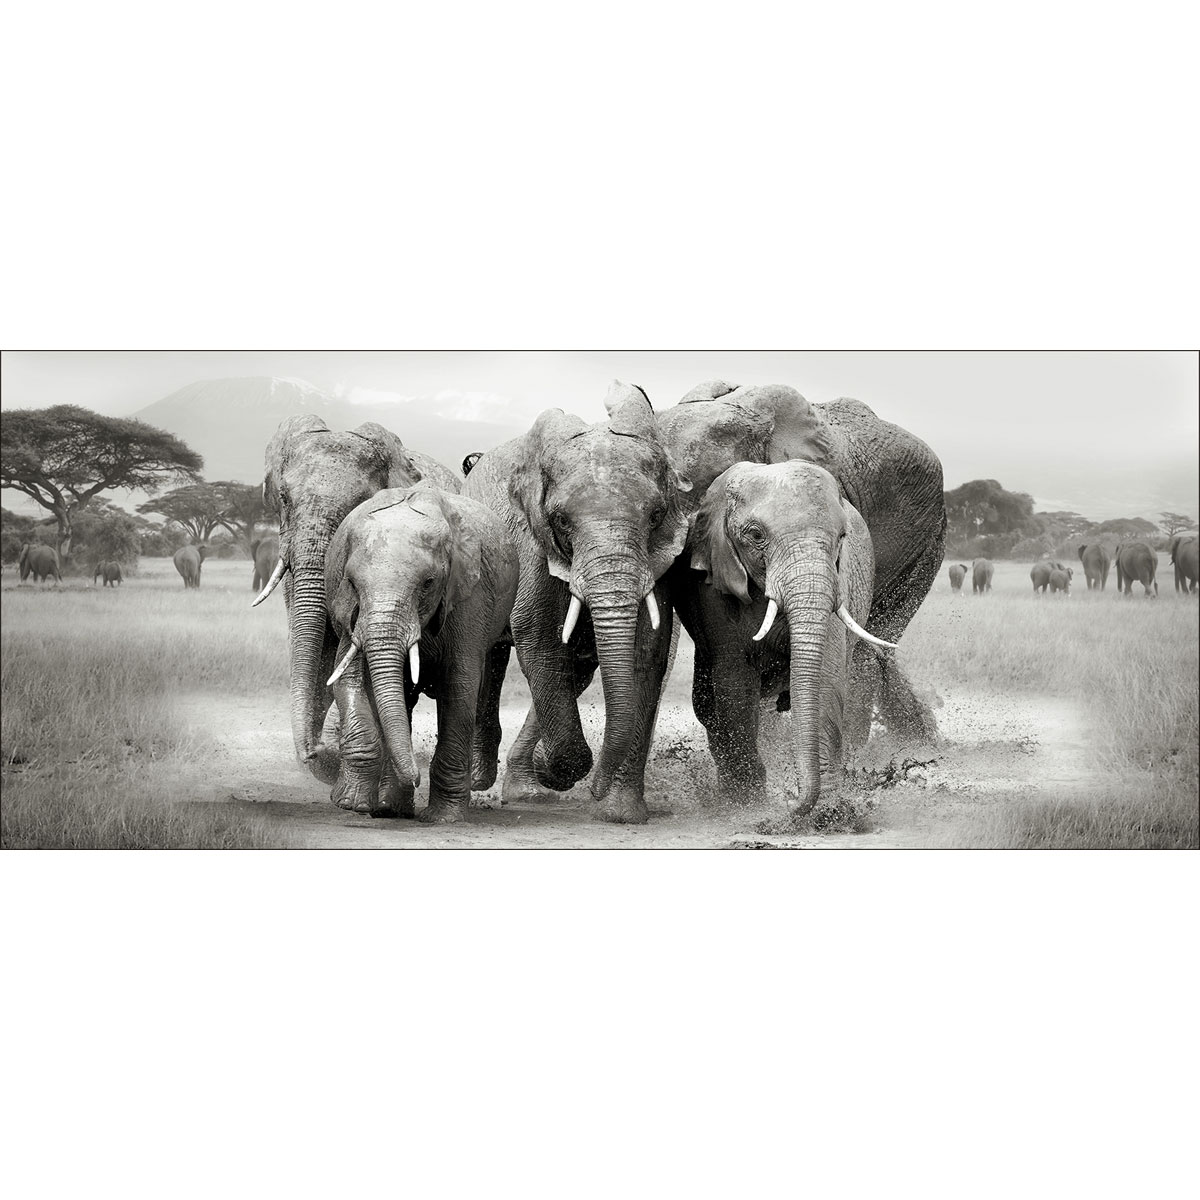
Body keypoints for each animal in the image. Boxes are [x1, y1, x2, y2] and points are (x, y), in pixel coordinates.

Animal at [323, 482, 519, 822]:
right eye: (352, 583)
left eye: (428, 583)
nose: (415, 777)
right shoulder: (348, 609)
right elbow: (349, 677)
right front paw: (351, 804)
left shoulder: (470, 596)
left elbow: (460, 686)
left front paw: (443, 818)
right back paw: (389, 807)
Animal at [462, 381, 688, 825]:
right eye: (561, 521)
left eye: (655, 516)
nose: (597, 791)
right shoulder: (531, 541)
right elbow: (538, 636)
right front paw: (556, 768)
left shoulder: (658, 560)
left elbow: (647, 649)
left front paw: (620, 814)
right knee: (490, 656)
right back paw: (480, 779)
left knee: (576, 670)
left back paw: (528, 790)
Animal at [681, 460, 889, 817]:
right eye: (755, 535)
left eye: (841, 537)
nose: (791, 804)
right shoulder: (715, 587)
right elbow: (734, 684)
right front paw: (748, 804)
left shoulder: (838, 581)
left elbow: (825, 680)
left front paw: (829, 813)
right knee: (707, 705)